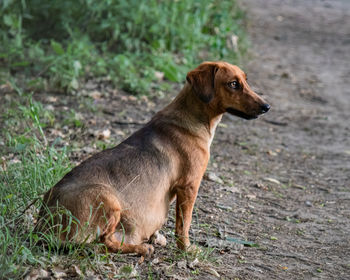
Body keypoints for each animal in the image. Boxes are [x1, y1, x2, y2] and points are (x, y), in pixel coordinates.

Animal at [37, 62, 270, 260]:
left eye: (245, 80)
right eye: (233, 84)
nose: (267, 106)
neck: (192, 120)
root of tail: (43, 226)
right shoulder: (189, 187)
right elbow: (184, 225)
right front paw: (186, 249)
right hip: (109, 199)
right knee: (103, 243)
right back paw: (140, 248)